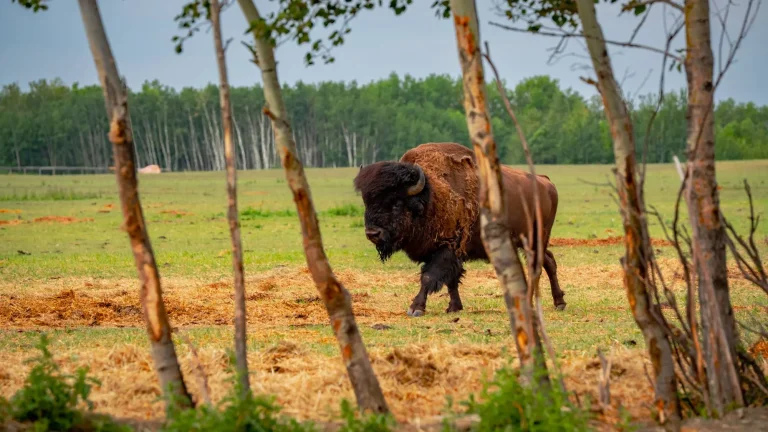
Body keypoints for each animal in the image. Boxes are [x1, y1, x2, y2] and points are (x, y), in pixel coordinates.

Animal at [353, 142, 565, 316]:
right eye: (367, 202)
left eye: (397, 203)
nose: (373, 233)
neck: (432, 196)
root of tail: (546, 182)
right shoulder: (449, 252)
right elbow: (451, 280)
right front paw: (454, 307)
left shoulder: (448, 248)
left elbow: (429, 276)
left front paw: (416, 308)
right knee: (549, 261)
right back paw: (559, 302)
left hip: (536, 239)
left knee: (538, 265)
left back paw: (532, 302)